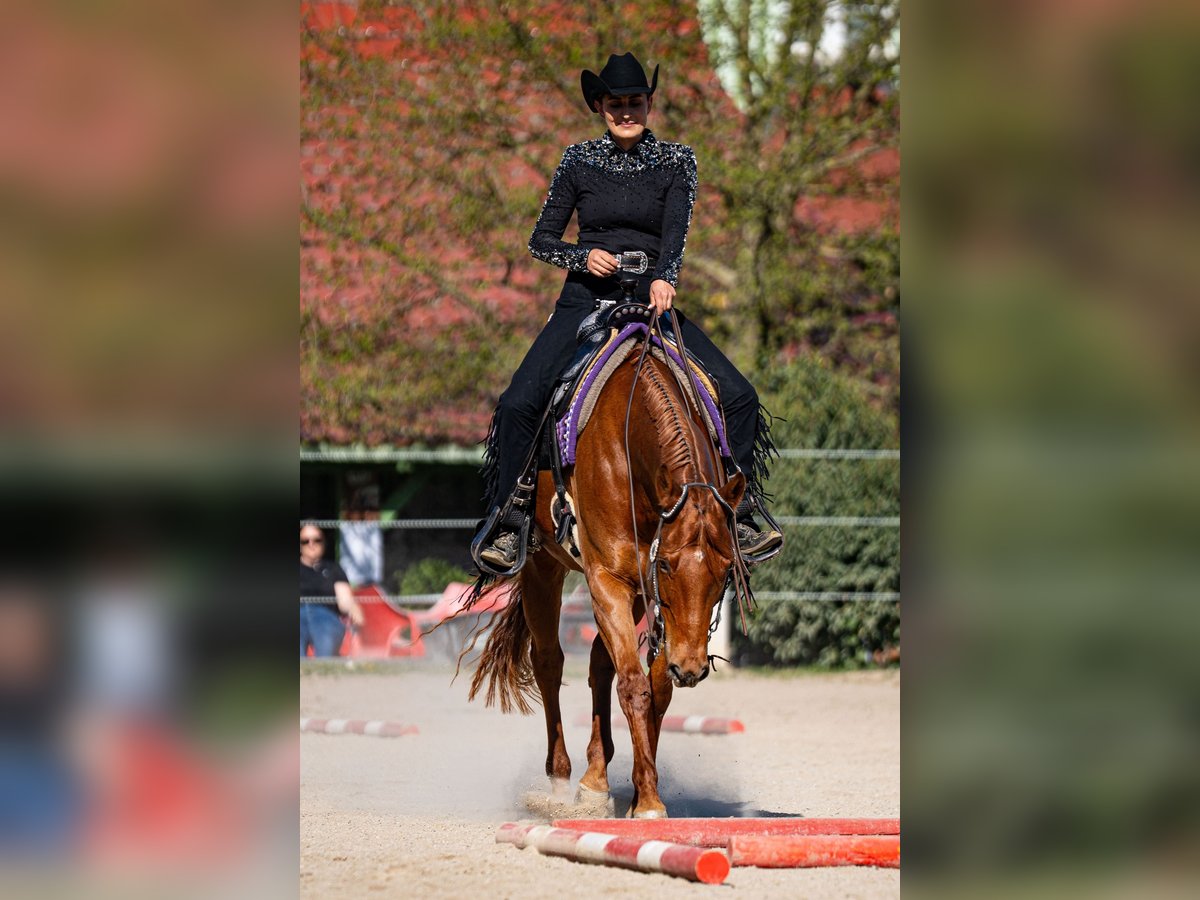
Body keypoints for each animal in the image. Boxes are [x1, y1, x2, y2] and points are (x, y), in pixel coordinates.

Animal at [464, 324, 748, 819]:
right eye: (667, 563)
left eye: (726, 568)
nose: (693, 667)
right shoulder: (610, 578)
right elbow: (634, 686)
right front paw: (650, 802)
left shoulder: (649, 596)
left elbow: (656, 687)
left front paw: (637, 793)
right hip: (543, 568)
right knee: (549, 661)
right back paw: (561, 779)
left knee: (600, 661)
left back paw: (595, 778)